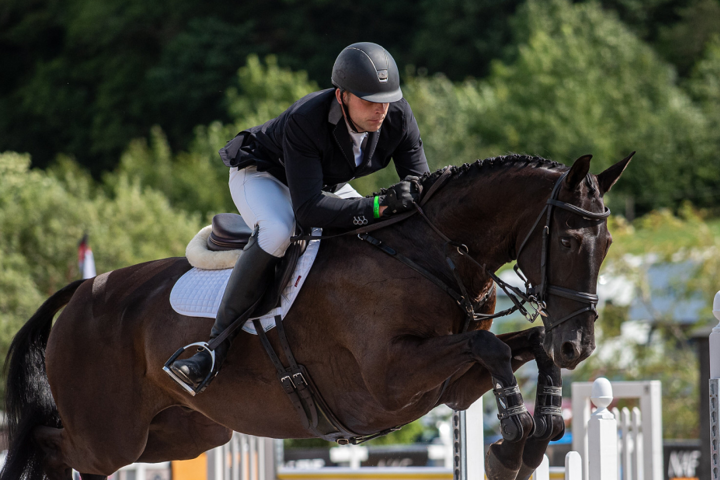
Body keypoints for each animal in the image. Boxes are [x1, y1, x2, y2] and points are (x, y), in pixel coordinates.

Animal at [1, 153, 632, 480]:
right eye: (570, 240)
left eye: (605, 246)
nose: (581, 346)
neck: (432, 254)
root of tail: (84, 290)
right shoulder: (389, 380)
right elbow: (495, 347)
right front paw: (514, 437)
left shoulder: (448, 388)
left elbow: (525, 347)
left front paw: (532, 435)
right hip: (109, 432)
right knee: (50, 444)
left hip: (187, 432)